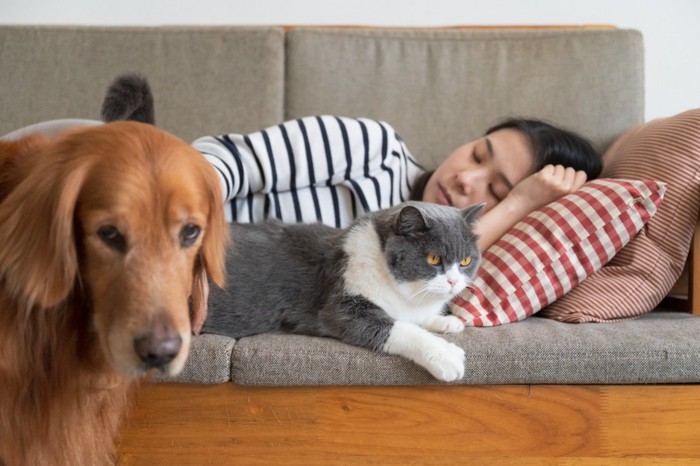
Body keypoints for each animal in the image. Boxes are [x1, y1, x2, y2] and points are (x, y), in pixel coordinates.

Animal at [202, 202, 484, 380]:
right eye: (434, 259)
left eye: (466, 261)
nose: (453, 282)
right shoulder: (340, 306)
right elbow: (398, 327)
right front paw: (445, 354)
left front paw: (446, 321)